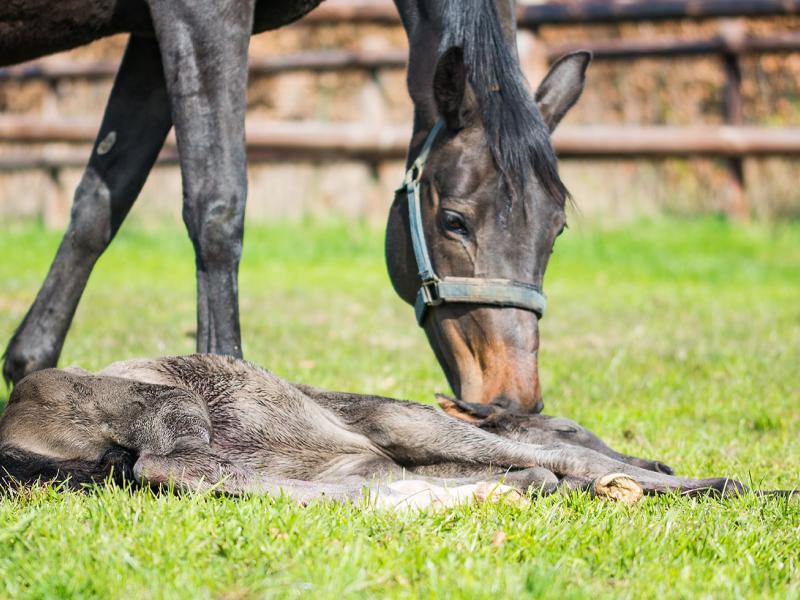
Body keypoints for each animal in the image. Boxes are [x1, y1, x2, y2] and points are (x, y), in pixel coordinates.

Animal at [0, 0, 588, 414]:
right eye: (454, 221)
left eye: (556, 231)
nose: (511, 399)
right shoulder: (199, 13)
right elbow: (217, 205)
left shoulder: (148, 39)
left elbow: (101, 202)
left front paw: (29, 366)